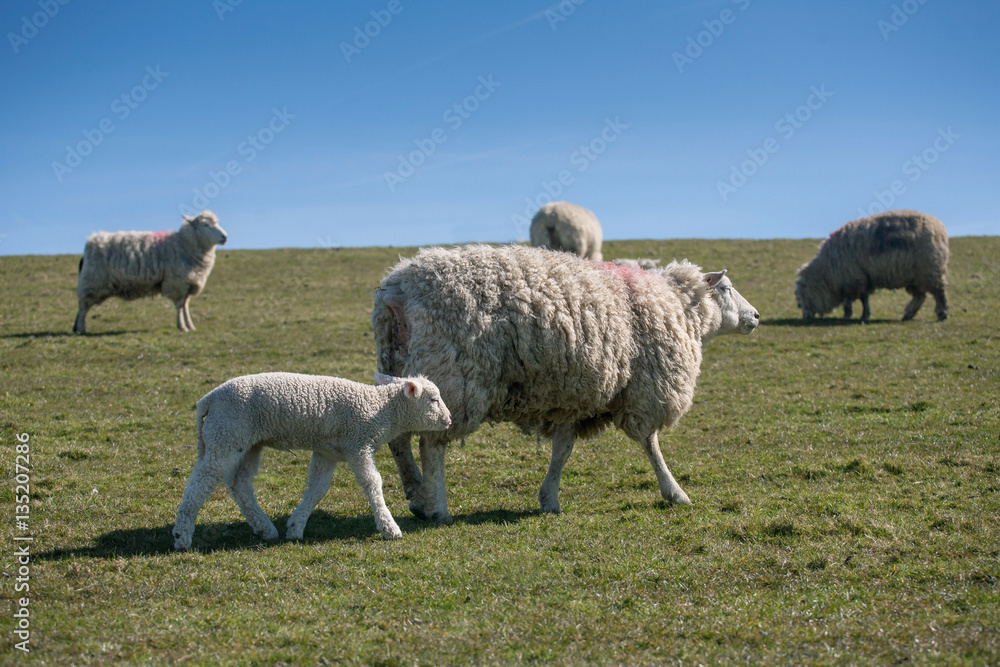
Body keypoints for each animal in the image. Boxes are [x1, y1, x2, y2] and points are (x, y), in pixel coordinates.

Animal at [75, 211, 229, 334]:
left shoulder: (187, 284)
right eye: (205, 225)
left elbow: (185, 306)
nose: (225, 237)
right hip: (92, 282)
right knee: (83, 306)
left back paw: (76, 327)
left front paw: (190, 326)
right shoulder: (177, 283)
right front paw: (182, 327)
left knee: (81, 306)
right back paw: (81, 329)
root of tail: (88, 245)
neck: (182, 245)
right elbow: (179, 306)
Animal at [173, 370, 454, 548]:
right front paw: (389, 527)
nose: (449, 420)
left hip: (246, 442)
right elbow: (372, 483)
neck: (379, 410)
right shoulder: (357, 443)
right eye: (434, 400)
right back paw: (181, 535)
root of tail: (208, 400)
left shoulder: (327, 452)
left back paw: (265, 528)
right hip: (226, 435)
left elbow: (318, 489)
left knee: (239, 484)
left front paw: (296, 526)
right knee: (201, 482)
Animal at [374, 243, 756, 524]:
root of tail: (397, 290)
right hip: (452, 376)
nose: (754, 316)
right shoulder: (644, 389)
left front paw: (549, 498)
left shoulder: (574, 396)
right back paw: (437, 508)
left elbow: (563, 449)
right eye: (725, 288)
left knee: (398, 439)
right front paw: (675, 492)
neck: (680, 307)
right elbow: (650, 443)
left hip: (400, 367)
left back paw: (417, 494)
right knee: (432, 444)